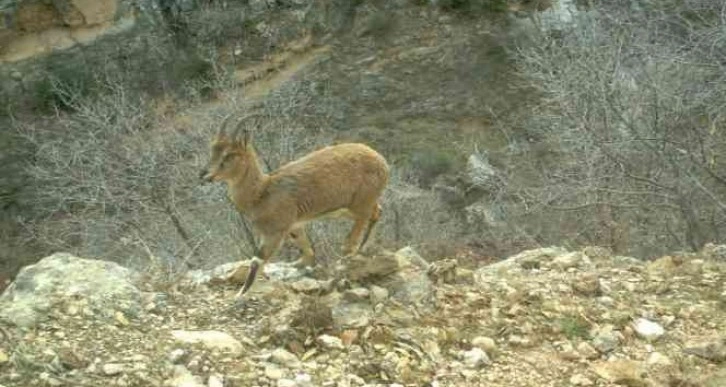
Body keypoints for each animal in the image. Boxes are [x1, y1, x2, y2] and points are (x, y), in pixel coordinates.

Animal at [199, 115, 392, 298]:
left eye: (230, 154)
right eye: (213, 149)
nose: (204, 174)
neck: (262, 193)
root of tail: (381, 161)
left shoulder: (275, 232)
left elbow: (256, 261)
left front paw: (240, 294)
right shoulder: (295, 226)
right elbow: (307, 254)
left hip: (360, 206)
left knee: (350, 243)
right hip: (351, 208)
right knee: (377, 212)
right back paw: (365, 249)